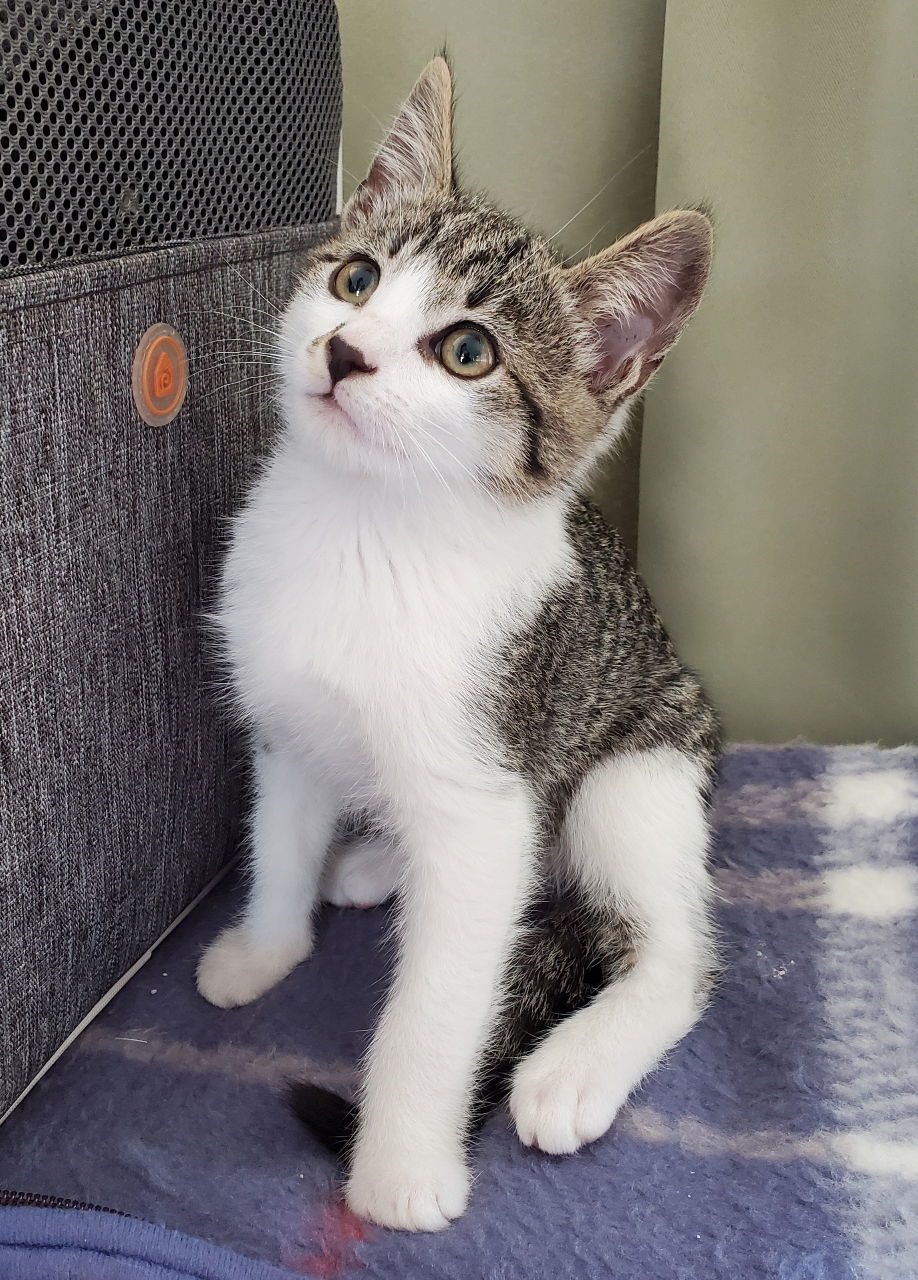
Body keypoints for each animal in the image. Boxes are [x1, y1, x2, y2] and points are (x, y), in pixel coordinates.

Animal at [197, 60, 722, 1228]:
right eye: (356, 278)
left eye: (467, 351)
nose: (345, 351)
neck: (363, 531)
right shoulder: (287, 712)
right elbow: (278, 837)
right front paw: (265, 947)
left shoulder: (487, 802)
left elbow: (437, 1010)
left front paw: (400, 1169)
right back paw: (373, 862)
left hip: (639, 772)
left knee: (678, 953)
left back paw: (575, 1064)